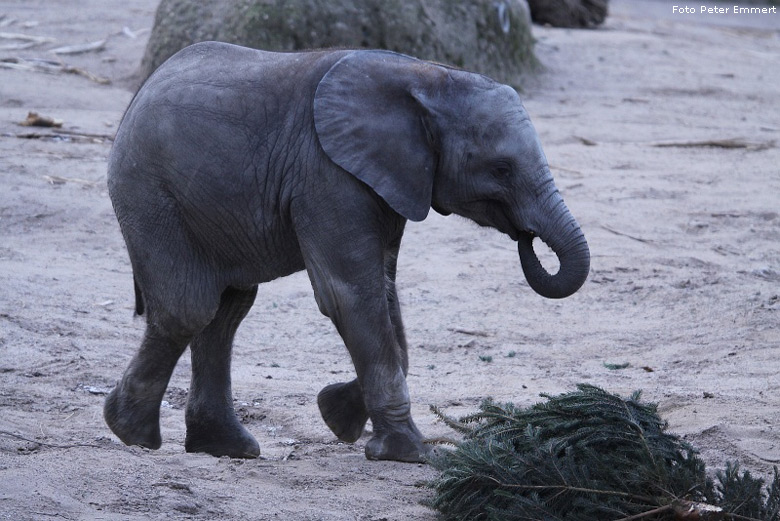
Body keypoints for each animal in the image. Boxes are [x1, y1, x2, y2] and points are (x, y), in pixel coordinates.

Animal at [105, 41, 592, 464]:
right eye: (501, 169)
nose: (526, 237)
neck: (427, 77)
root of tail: (143, 89)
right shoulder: (326, 172)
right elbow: (350, 295)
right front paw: (410, 454)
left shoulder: (388, 178)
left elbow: (384, 292)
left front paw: (337, 416)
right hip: (150, 195)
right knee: (190, 309)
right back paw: (131, 432)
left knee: (227, 311)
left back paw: (224, 447)